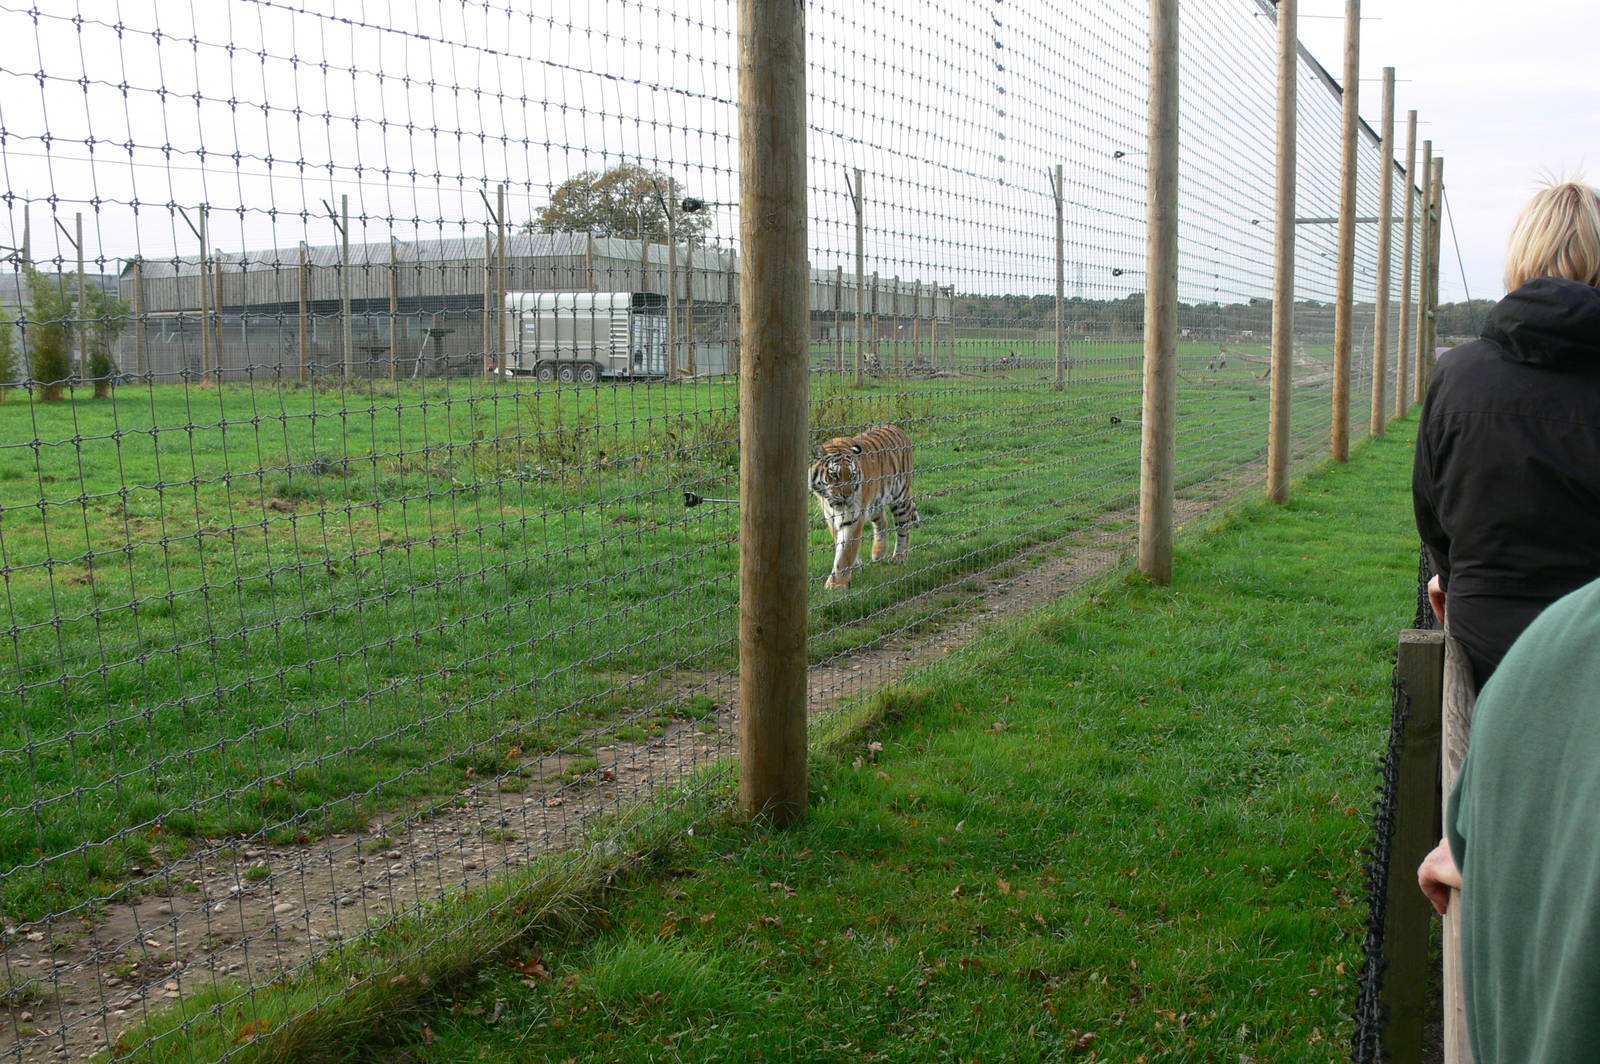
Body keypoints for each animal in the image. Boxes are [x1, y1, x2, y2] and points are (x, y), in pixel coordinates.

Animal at [809, 424, 921, 590]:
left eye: (852, 475)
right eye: (834, 474)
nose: (847, 495)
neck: (832, 503)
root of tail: (899, 428)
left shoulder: (853, 518)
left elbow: (845, 552)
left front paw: (836, 585)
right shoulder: (830, 516)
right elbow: (839, 542)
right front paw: (855, 567)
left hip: (900, 496)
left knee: (903, 527)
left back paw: (899, 557)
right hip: (876, 501)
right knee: (882, 522)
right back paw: (878, 553)